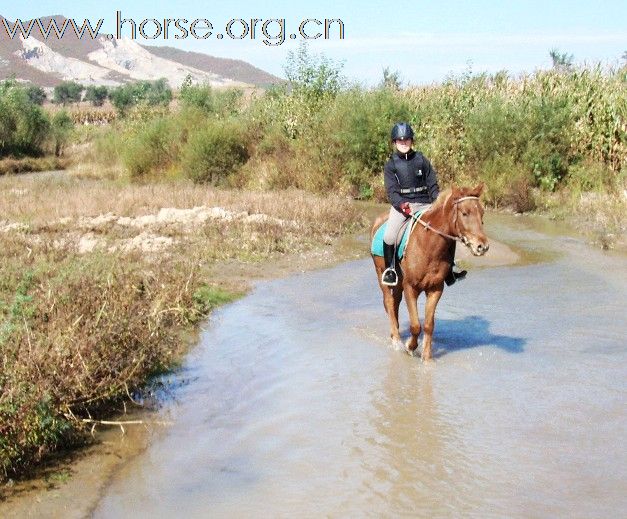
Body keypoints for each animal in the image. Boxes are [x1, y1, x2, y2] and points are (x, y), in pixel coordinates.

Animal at [372, 185, 490, 360]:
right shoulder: (410, 287)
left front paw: (427, 358)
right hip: (382, 275)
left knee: (395, 303)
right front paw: (410, 346)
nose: (482, 246)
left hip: (399, 283)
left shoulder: (435, 289)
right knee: (389, 302)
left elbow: (428, 325)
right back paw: (397, 341)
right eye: (465, 213)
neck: (428, 245)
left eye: (481, 213)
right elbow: (415, 325)